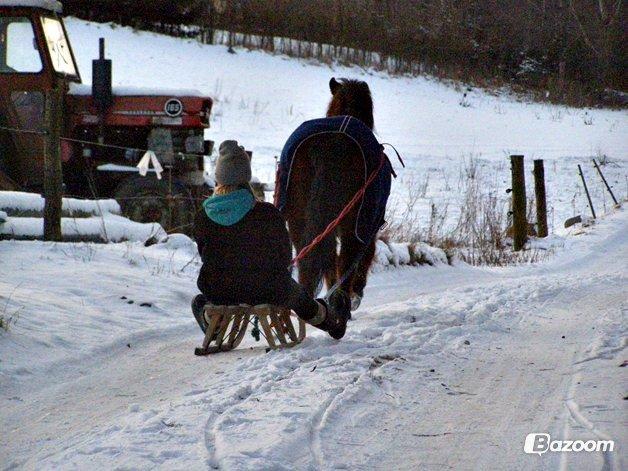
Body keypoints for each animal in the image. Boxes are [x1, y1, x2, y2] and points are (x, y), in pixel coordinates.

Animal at [284, 78, 378, 310]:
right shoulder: (369, 226)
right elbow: (364, 255)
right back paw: (341, 305)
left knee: (312, 255)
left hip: (298, 219)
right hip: (352, 221)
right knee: (346, 258)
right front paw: (356, 294)